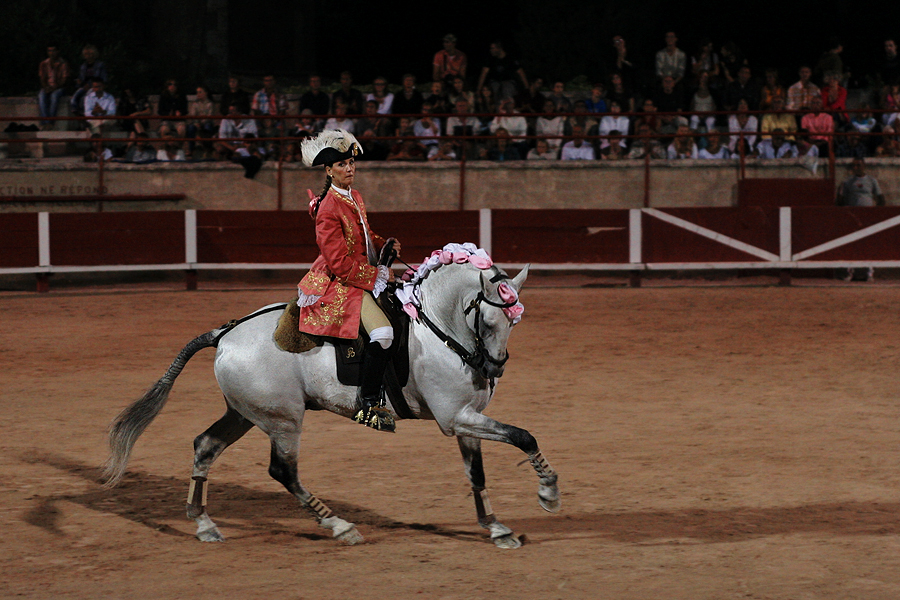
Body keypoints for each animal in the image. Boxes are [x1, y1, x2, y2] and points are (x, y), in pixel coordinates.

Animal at [103, 258, 556, 548]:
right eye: (490, 321)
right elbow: (524, 435)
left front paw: (496, 528)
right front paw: (548, 492)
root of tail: (226, 333)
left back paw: (203, 524)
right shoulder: (454, 418)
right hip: (284, 420)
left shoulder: (467, 418)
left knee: (205, 447)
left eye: (515, 322)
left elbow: (477, 473)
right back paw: (339, 526)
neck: (439, 327)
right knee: (283, 471)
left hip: (245, 413)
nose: (493, 368)